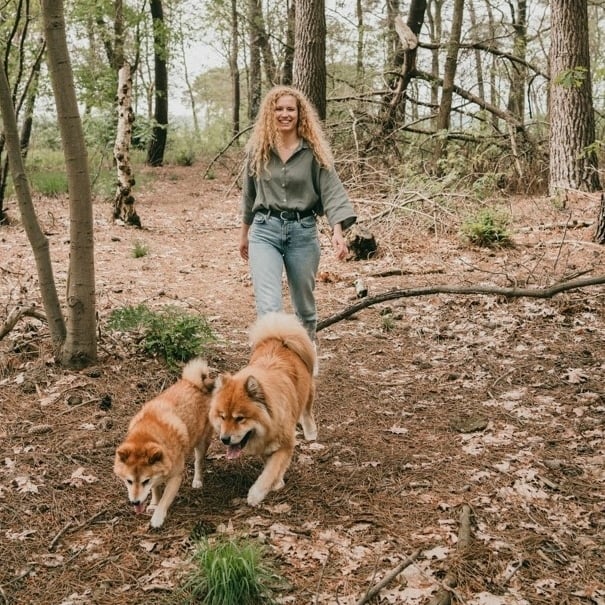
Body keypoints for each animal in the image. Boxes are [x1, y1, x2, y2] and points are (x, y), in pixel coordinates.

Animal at [113, 356, 215, 528]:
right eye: (129, 481)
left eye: (145, 481)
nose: (135, 502)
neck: (148, 435)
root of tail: (193, 383)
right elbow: (156, 490)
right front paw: (153, 503)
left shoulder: (175, 478)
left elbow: (165, 501)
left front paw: (157, 517)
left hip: (202, 442)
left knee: (199, 462)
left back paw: (197, 480)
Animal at [209, 312, 316, 504]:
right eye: (222, 417)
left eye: (240, 418)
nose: (224, 439)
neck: (270, 420)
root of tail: (279, 338)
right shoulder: (264, 445)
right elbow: (270, 466)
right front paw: (278, 482)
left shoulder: (286, 444)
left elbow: (270, 471)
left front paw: (257, 493)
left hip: (308, 392)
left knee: (307, 411)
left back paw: (311, 431)